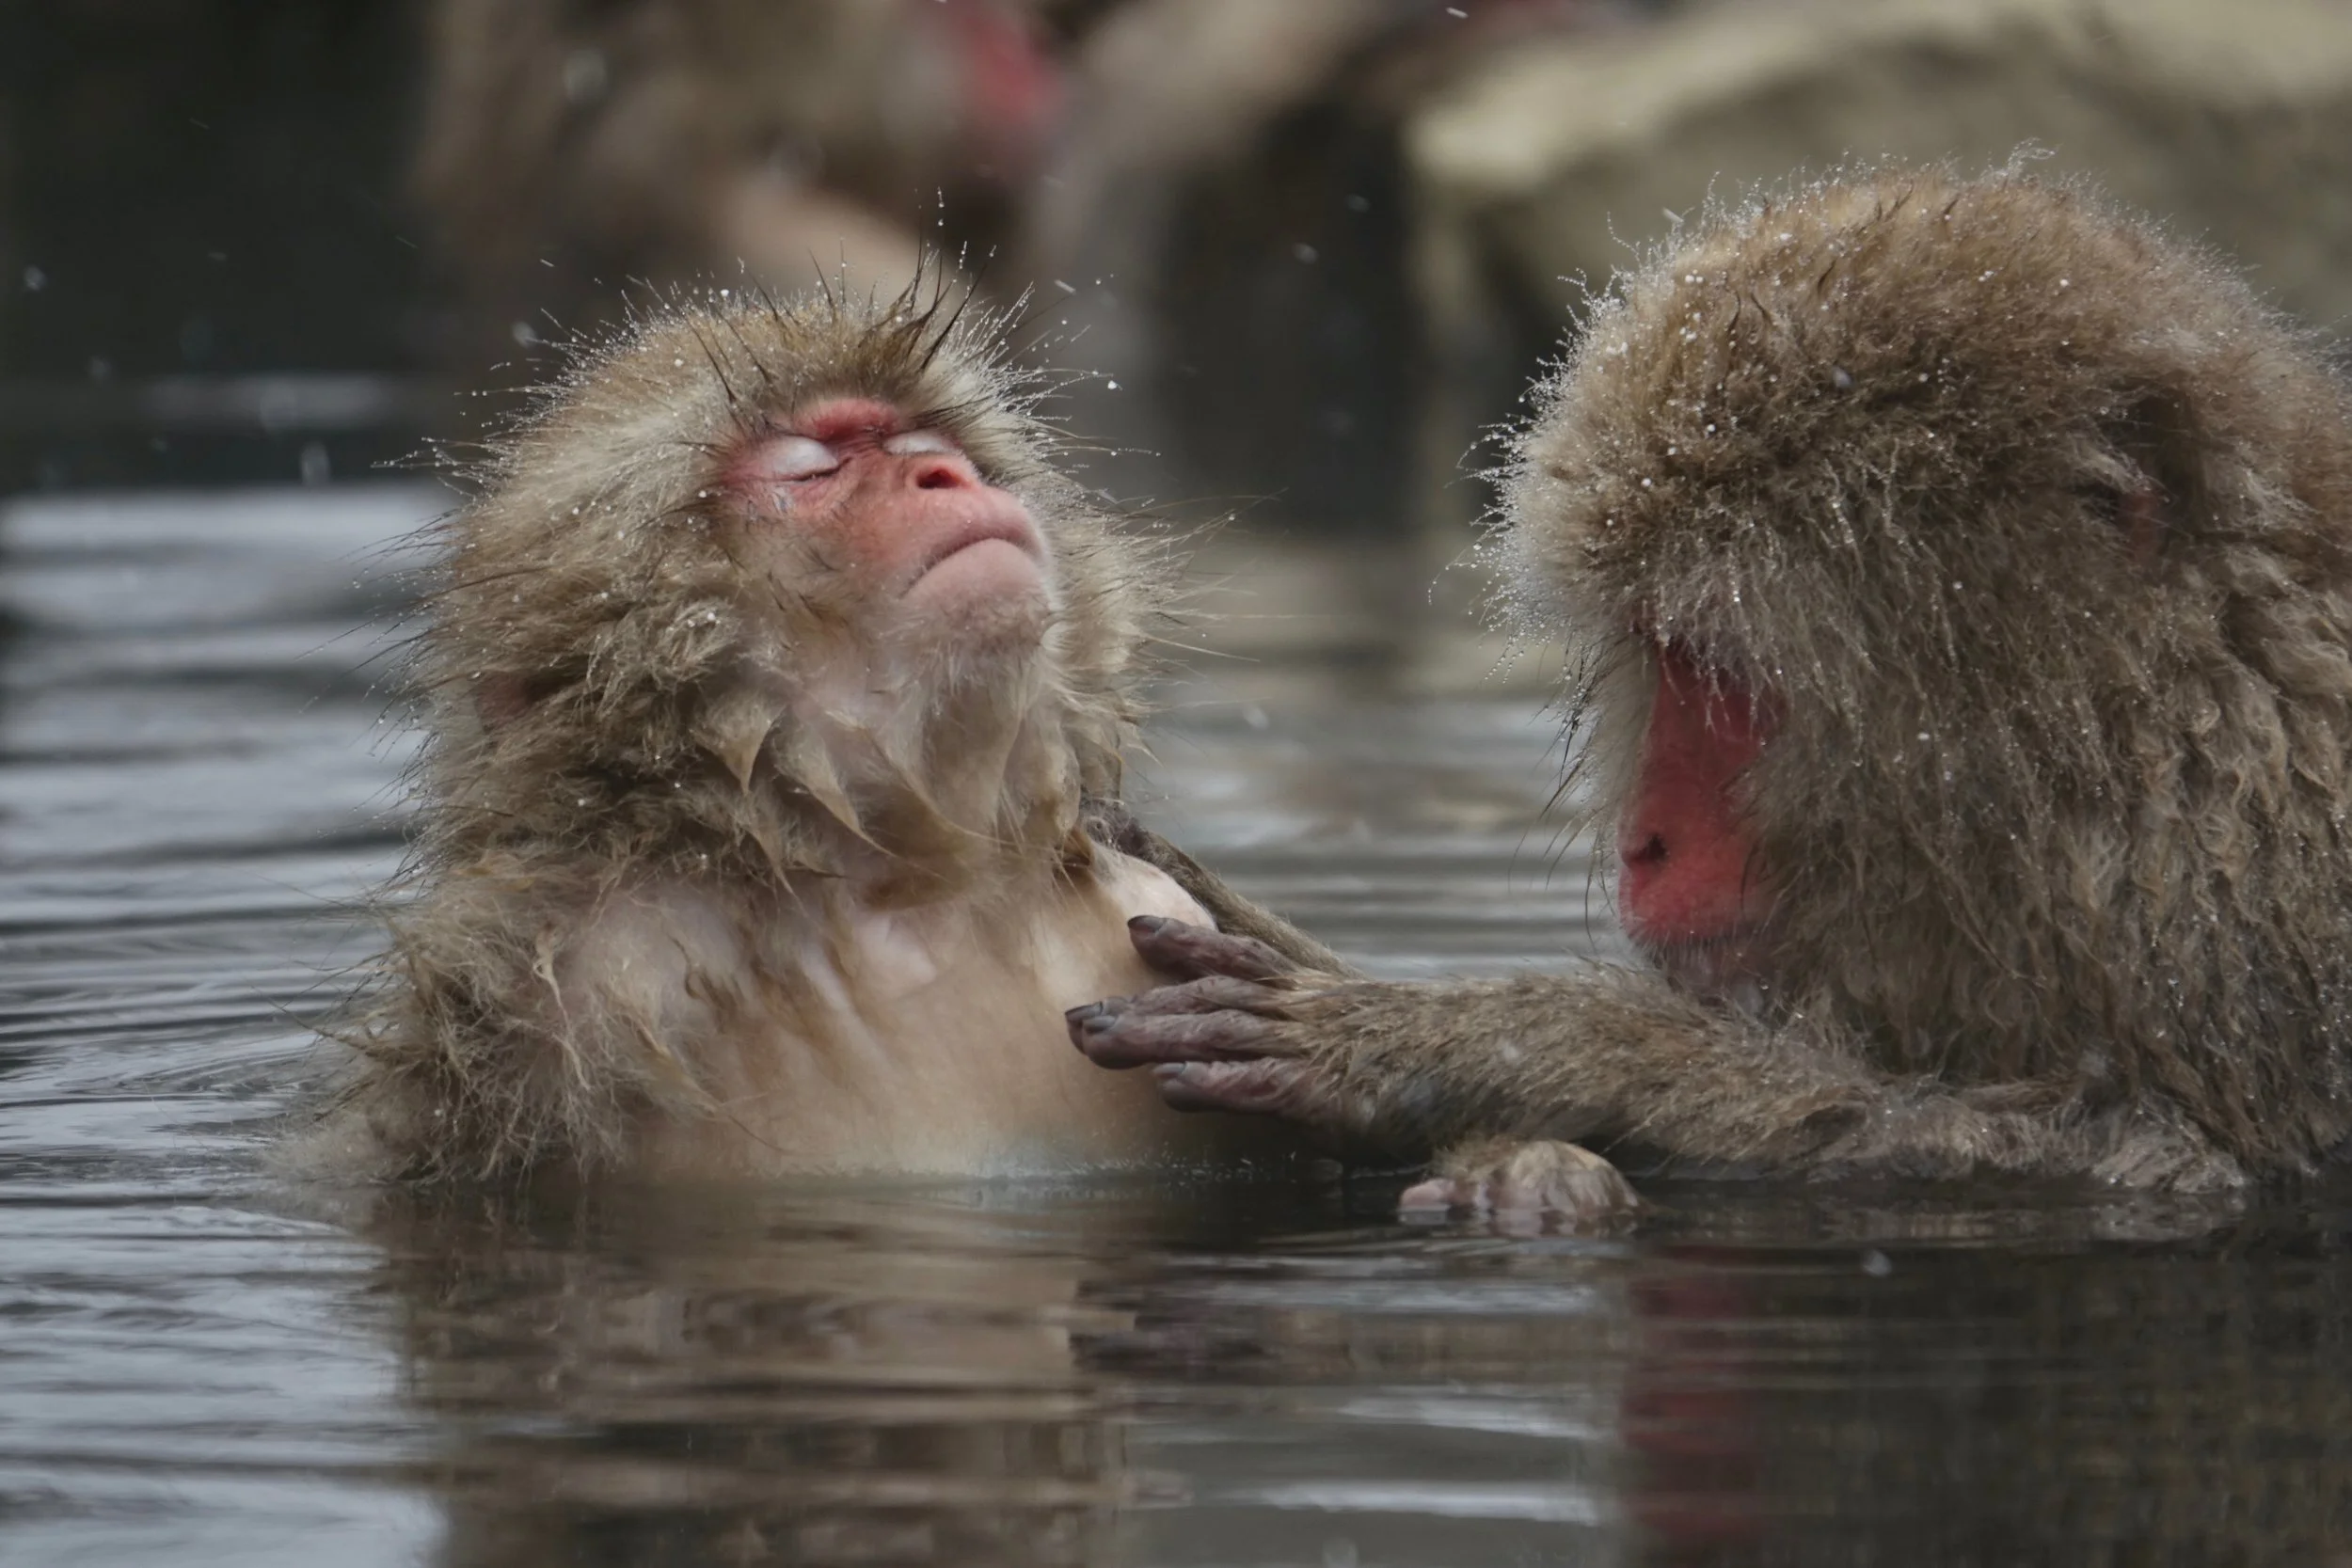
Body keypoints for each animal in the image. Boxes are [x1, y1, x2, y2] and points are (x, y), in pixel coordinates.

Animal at [325, 280, 1343, 1182]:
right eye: (813, 469)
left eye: (925, 445)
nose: (943, 473)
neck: (922, 891)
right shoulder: (557, 985)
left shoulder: (1150, 903)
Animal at [1069, 164, 2352, 1217]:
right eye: (1660, 653)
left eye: (1720, 670)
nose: (1642, 840)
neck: (2176, 758)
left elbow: (2146, 1160)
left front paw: (1496, 1045)